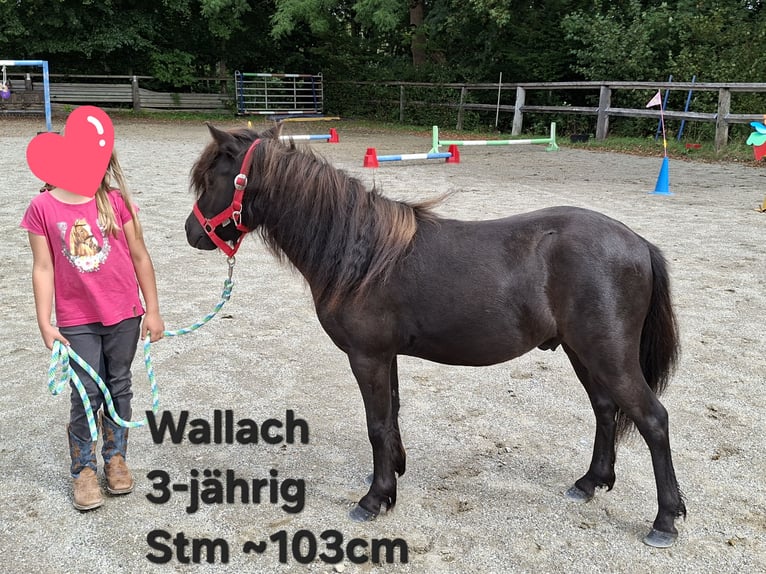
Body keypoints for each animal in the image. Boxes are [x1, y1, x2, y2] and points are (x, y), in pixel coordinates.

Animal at [184, 124, 686, 548]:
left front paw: (375, 499)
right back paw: (591, 482)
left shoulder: (366, 356)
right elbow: (392, 415)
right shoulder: (386, 356)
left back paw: (664, 520)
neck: (360, 253)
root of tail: (639, 243)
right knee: (605, 409)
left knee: (653, 419)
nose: (192, 233)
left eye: (212, 178)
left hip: (609, 355)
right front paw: (393, 475)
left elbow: (376, 423)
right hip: (582, 352)